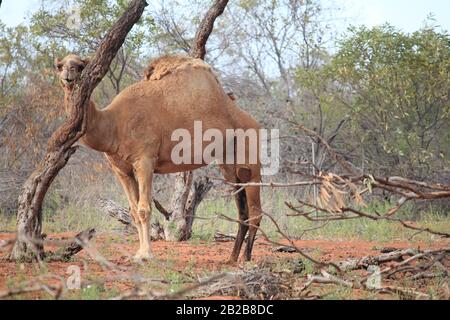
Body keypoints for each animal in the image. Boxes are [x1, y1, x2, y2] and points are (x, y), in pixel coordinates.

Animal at [54, 53, 262, 262]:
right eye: (60, 66)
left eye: (80, 66)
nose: (68, 76)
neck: (113, 124)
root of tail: (256, 124)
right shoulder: (121, 170)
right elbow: (133, 211)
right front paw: (138, 253)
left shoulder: (145, 160)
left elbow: (144, 209)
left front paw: (146, 255)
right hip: (229, 166)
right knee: (242, 212)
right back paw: (232, 258)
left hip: (250, 163)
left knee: (255, 212)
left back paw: (246, 258)